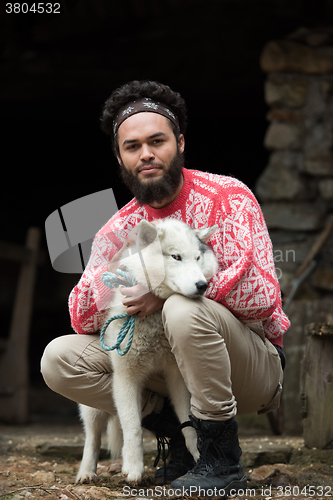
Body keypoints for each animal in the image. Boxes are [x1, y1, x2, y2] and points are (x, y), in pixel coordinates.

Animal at [76, 219, 218, 484]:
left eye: (197, 258)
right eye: (176, 256)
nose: (203, 286)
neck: (153, 320)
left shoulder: (178, 378)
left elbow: (189, 424)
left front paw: (199, 457)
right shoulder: (125, 378)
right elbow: (132, 429)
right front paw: (133, 470)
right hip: (92, 408)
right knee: (92, 436)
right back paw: (86, 472)